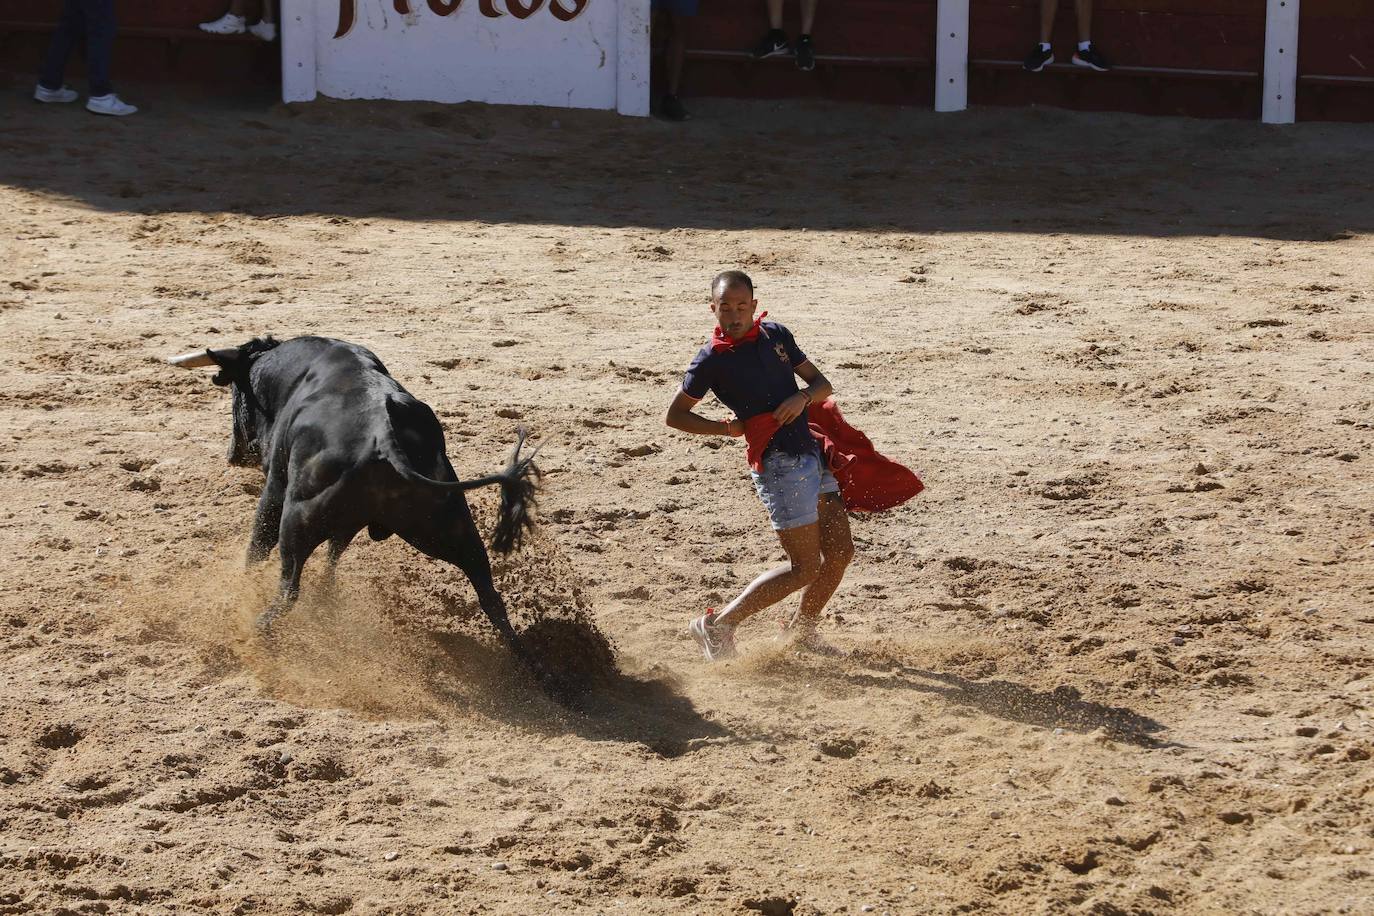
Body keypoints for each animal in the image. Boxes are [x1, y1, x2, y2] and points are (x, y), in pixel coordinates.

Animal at [170, 340, 552, 692]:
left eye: (235, 391)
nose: (233, 454)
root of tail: (384, 435)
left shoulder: (276, 488)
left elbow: (258, 546)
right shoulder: (349, 523)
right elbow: (334, 554)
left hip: (295, 519)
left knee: (289, 587)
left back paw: (256, 630)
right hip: (454, 529)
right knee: (491, 597)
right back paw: (537, 673)